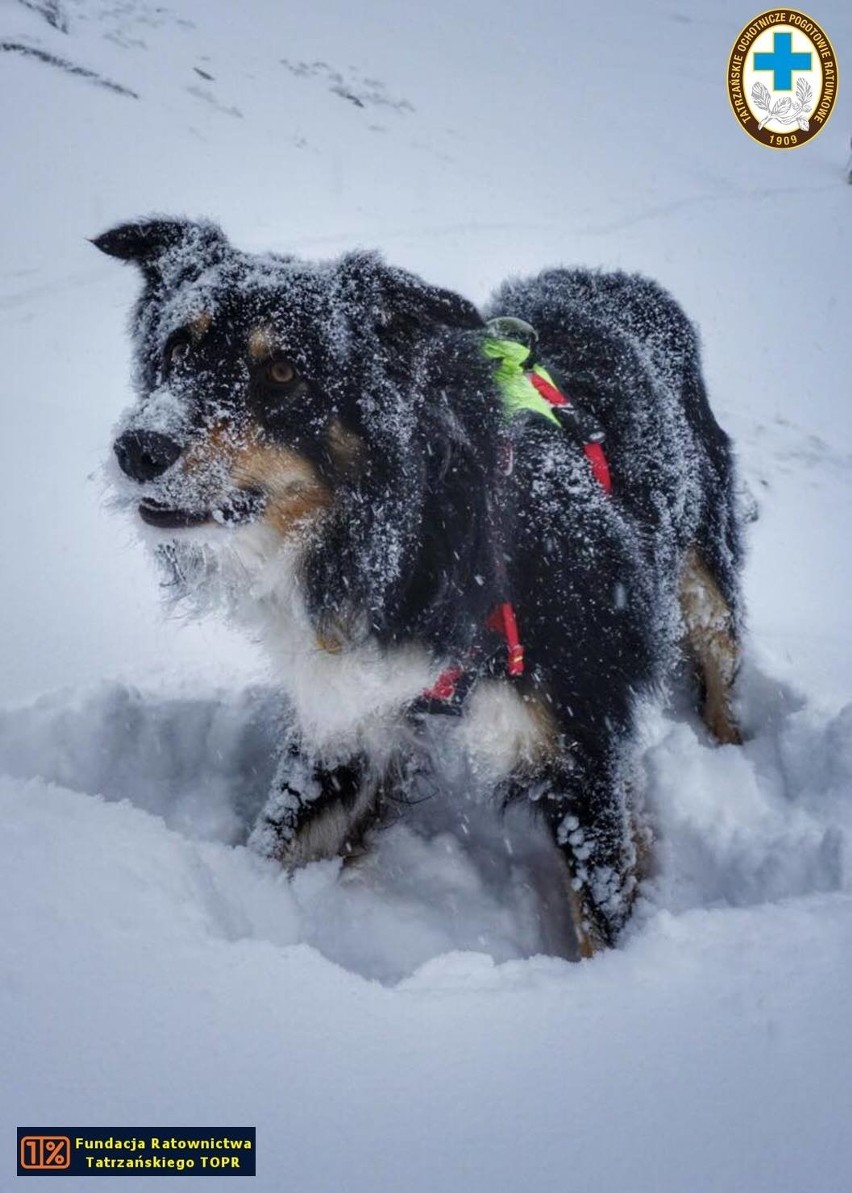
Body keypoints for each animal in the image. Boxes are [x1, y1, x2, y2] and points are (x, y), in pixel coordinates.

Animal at [94, 217, 744, 959]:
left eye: (283, 371)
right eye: (178, 347)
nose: (137, 447)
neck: (425, 544)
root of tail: (622, 280)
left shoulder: (581, 744)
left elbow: (601, 911)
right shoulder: (349, 719)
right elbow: (278, 843)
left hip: (706, 583)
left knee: (719, 670)